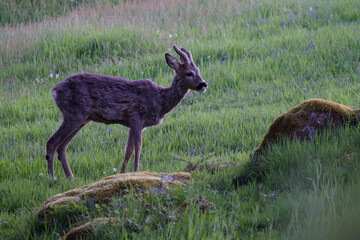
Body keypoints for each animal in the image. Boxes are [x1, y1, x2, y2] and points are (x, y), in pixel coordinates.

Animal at [45, 46, 208, 179]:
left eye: (199, 71)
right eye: (189, 73)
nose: (204, 84)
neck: (160, 100)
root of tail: (54, 90)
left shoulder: (133, 123)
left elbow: (128, 150)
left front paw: (122, 174)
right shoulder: (136, 115)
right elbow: (138, 146)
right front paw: (136, 172)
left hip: (82, 118)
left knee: (62, 146)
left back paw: (70, 178)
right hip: (74, 114)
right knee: (52, 142)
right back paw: (52, 177)